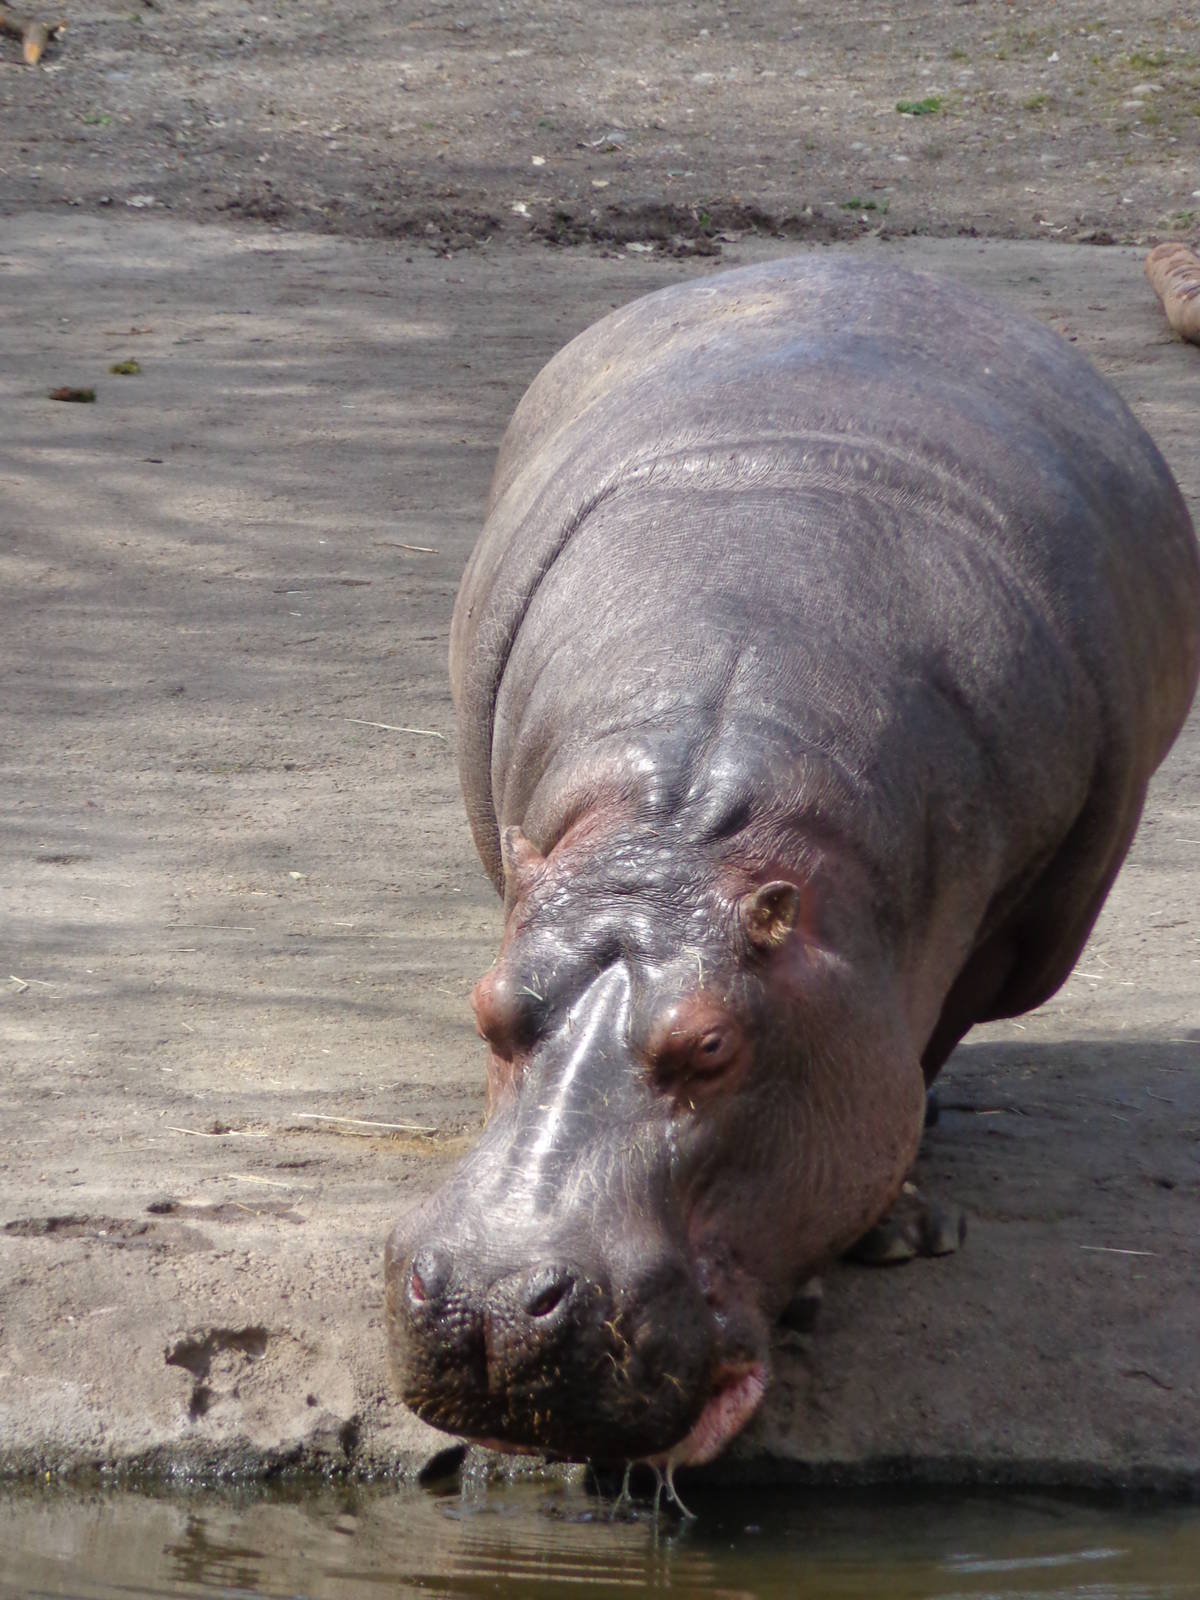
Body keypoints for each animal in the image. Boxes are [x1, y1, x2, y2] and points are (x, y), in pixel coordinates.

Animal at [386, 257, 1200, 1469]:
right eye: (487, 1007)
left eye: (714, 1045)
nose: (488, 1308)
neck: (685, 838)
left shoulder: (993, 940)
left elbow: (917, 1054)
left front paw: (901, 1233)